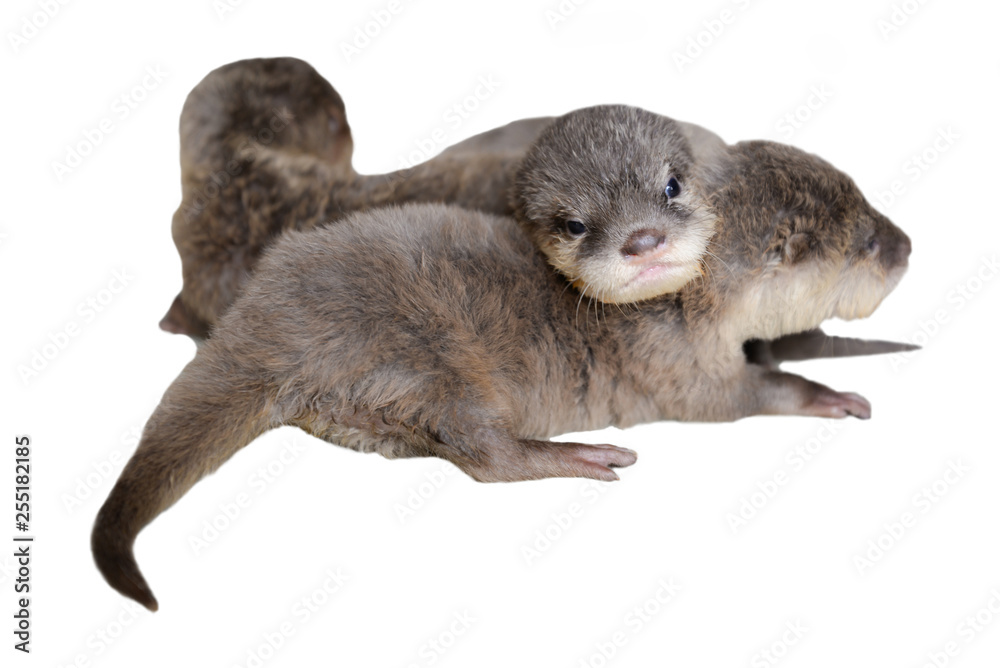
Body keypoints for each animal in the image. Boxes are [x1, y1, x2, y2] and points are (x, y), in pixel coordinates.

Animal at [93, 140, 912, 611]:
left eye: (873, 207)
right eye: (867, 244)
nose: (905, 245)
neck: (683, 300)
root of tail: (268, 322)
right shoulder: (677, 365)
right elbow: (743, 395)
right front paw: (831, 393)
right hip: (424, 359)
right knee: (483, 455)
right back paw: (580, 455)